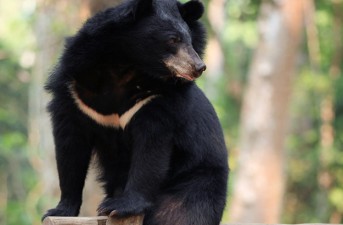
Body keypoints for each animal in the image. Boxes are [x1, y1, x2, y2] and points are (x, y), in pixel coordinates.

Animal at [44, 0, 230, 224]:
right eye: (172, 39)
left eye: (190, 40)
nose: (199, 67)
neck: (124, 66)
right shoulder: (74, 95)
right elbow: (70, 149)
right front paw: (58, 210)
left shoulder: (155, 100)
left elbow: (150, 151)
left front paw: (118, 206)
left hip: (195, 183)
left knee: (181, 214)